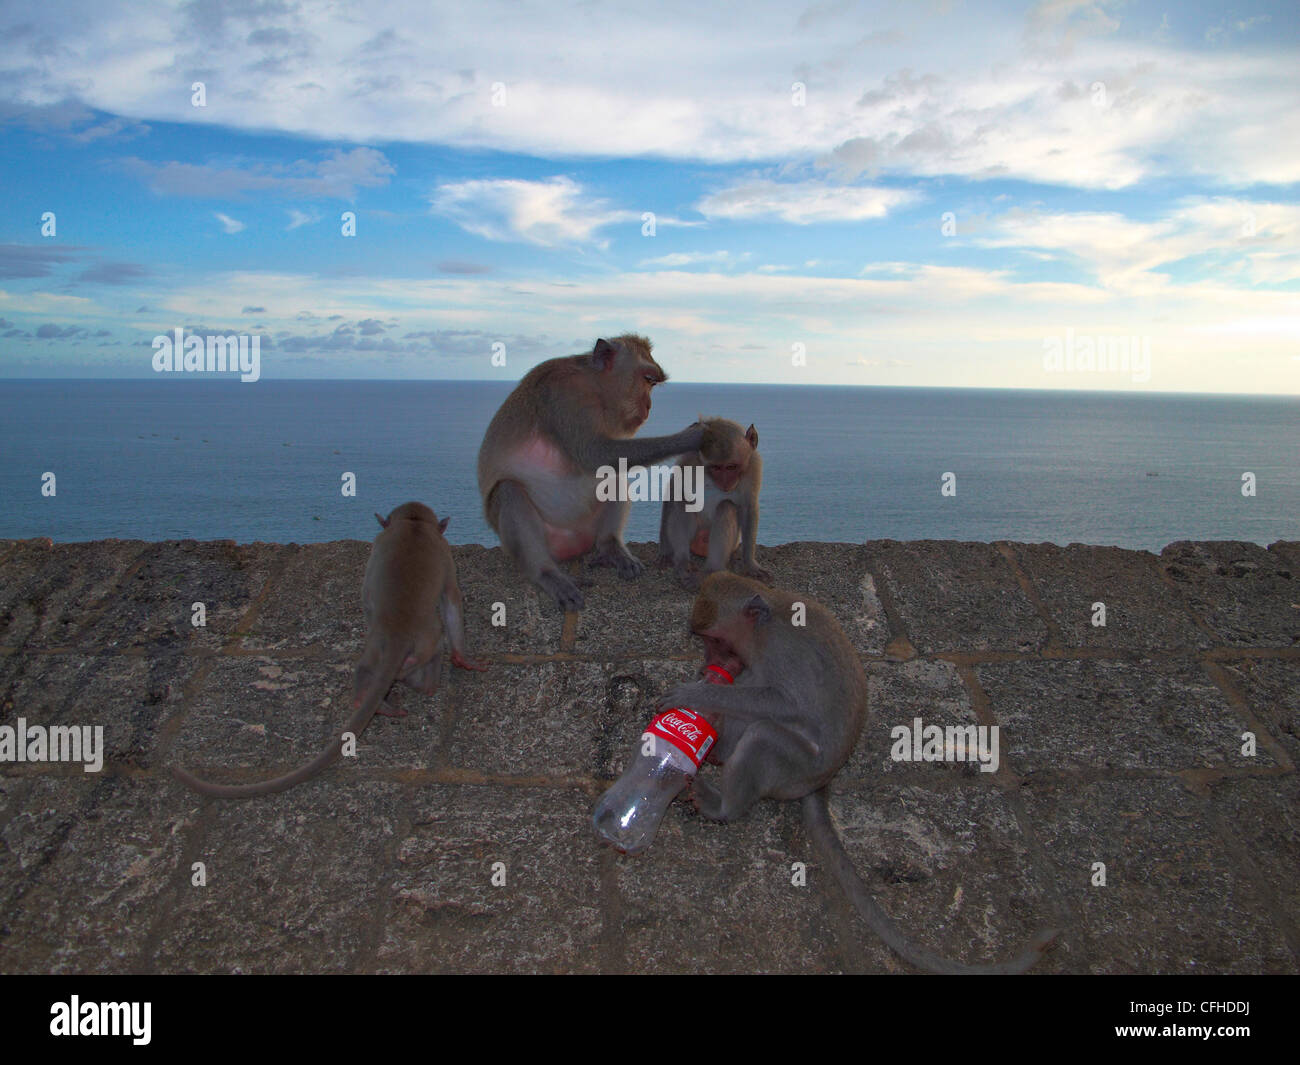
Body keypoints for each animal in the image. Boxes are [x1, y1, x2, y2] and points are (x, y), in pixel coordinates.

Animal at [478, 332, 707, 616]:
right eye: (647, 380)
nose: (649, 406)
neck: (595, 387)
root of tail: (574, 546)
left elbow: (608, 461)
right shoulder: (565, 396)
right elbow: (594, 453)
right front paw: (691, 436)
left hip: (589, 528)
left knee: (614, 476)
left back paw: (611, 547)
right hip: (545, 539)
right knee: (509, 490)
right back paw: (547, 574)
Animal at [655, 416, 764, 587]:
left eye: (731, 467)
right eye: (716, 468)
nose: (725, 483)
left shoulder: (753, 467)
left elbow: (748, 507)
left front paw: (750, 563)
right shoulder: (690, 459)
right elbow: (675, 488)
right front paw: (665, 551)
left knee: (726, 507)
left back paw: (711, 570)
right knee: (682, 502)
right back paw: (683, 562)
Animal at [660, 574, 1055, 972]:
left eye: (715, 641)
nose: (708, 661)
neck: (763, 628)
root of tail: (821, 781)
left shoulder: (781, 654)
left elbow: (784, 702)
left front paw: (699, 694)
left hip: (795, 768)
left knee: (763, 734)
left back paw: (724, 805)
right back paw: (716, 753)